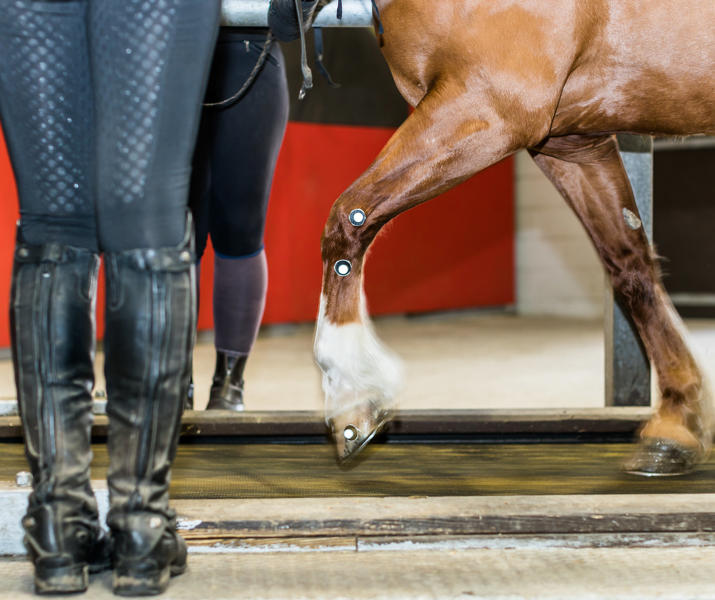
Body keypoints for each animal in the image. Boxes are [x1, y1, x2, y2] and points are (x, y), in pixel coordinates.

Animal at [312, 0, 715, 473]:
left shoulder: (488, 107)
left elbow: (350, 217)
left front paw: (353, 398)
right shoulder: (573, 145)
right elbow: (629, 267)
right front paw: (676, 424)